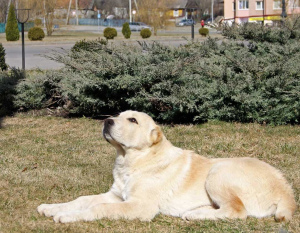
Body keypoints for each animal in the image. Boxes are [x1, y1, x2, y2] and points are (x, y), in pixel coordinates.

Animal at [37, 110, 296, 223]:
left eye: (133, 120)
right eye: (118, 115)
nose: (106, 120)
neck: (133, 161)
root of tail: (288, 192)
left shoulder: (140, 207)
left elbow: (98, 207)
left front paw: (67, 216)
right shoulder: (116, 196)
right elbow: (83, 199)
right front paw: (53, 207)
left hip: (218, 172)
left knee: (237, 212)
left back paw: (195, 214)